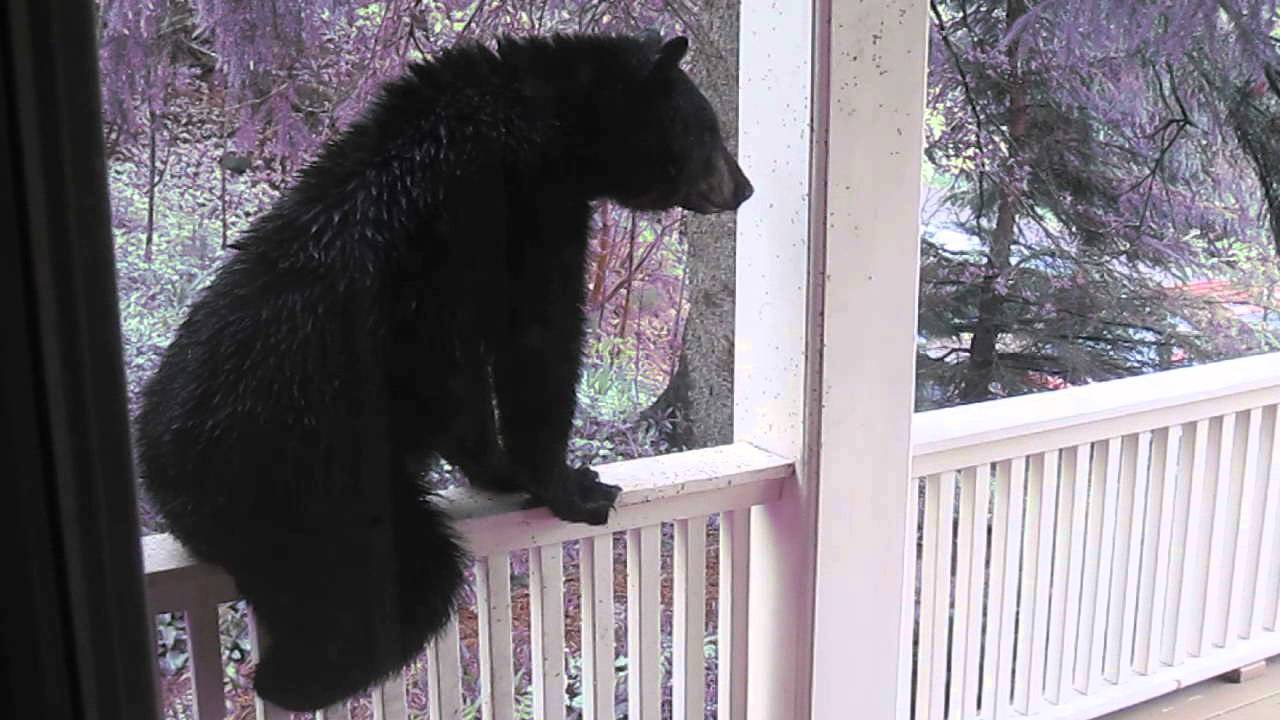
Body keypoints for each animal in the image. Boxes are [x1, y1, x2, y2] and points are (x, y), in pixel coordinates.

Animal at [135, 32, 752, 711]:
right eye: (710, 128)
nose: (746, 187)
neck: (547, 120)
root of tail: (164, 476)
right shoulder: (520, 214)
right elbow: (535, 344)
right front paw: (566, 482)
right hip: (318, 495)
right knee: (407, 585)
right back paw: (293, 678)